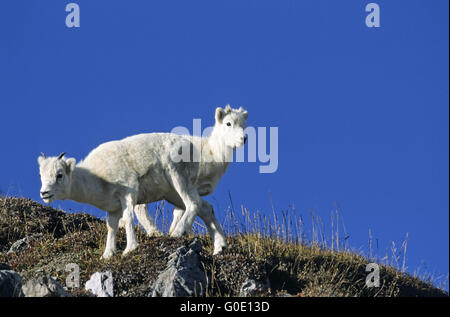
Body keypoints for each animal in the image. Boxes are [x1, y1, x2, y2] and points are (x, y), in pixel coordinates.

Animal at [37, 105, 250, 258]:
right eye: (41, 175)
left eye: (59, 175)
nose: (44, 193)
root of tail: (189, 145)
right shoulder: (113, 207)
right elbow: (111, 227)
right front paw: (107, 255)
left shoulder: (128, 193)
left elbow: (129, 217)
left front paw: (130, 249)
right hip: (174, 192)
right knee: (205, 208)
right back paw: (219, 247)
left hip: (178, 179)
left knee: (194, 205)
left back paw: (177, 234)